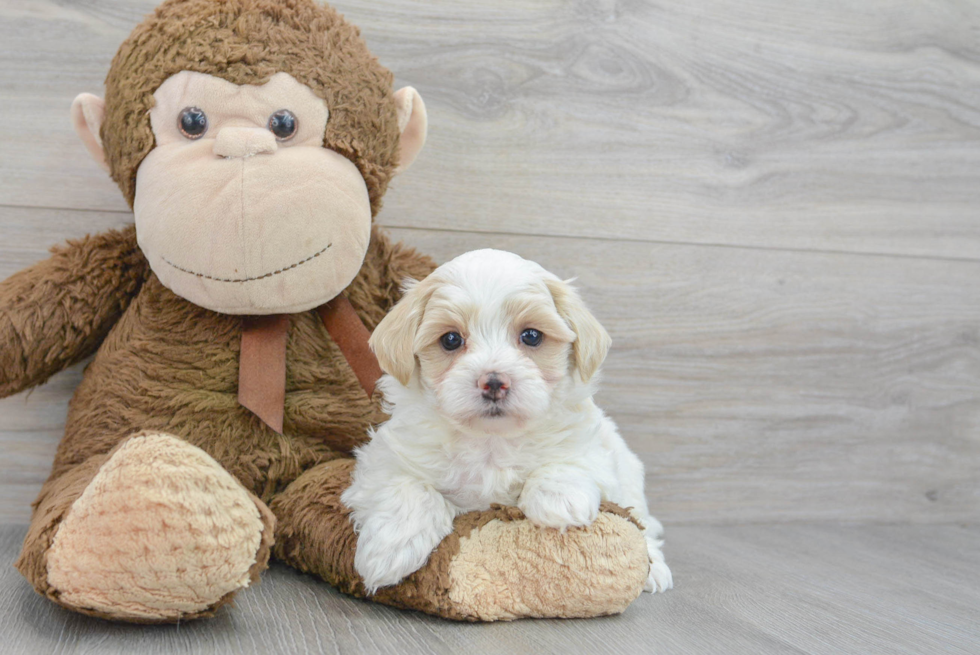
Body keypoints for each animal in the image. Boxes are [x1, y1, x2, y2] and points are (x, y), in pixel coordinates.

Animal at [340, 250, 668, 596]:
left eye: (532, 336)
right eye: (451, 339)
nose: (494, 382)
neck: (490, 441)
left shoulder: (595, 452)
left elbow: (569, 462)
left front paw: (559, 502)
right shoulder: (382, 461)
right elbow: (408, 489)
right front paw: (390, 548)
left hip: (629, 472)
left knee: (640, 518)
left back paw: (655, 569)